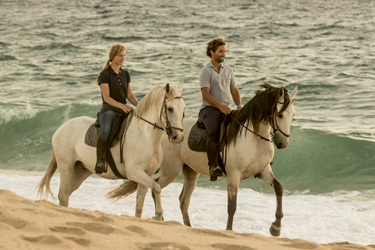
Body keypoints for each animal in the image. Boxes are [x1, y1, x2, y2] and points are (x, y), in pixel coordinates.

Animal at [108, 81, 296, 234]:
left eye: (293, 115)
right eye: (280, 115)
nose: (282, 143)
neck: (254, 138)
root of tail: (168, 132)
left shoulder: (263, 170)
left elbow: (279, 188)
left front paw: (276, 227)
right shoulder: (234, 176)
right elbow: (232, 206)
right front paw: (229, 231)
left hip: (191, 173)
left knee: (183, 200)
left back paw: (187, 226)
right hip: (171, 171)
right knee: (157, 187)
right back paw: (162, 219)